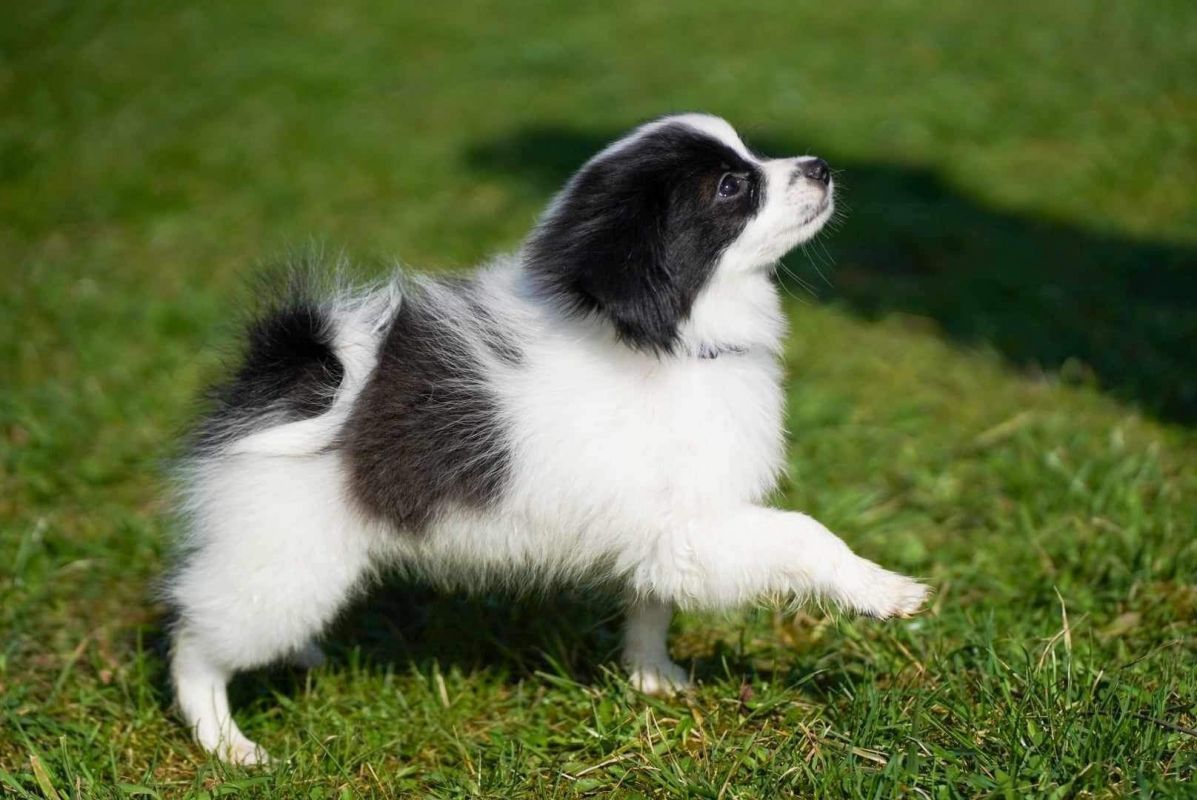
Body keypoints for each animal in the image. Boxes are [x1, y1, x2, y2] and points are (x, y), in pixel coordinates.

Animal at [166, 114, 929, 764]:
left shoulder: (661, 537)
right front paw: (884, 591)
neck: (671, 343)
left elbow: (651, 606)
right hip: (282, 559)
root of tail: (286, 375)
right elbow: (804, 535)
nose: (820, 166)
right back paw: (228, 744)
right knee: (194, 645)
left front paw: (652, 678)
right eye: (730, 187)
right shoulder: (693, 525)